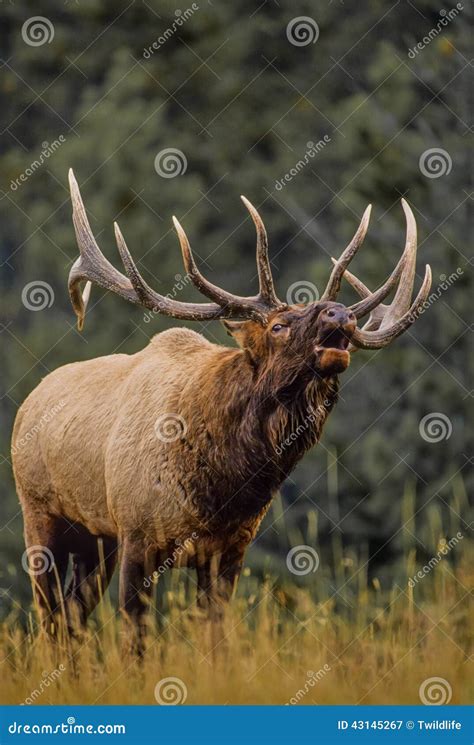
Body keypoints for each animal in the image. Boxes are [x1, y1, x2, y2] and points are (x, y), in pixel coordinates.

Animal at [12, 169, 432, 644]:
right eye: (278, 326)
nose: (340, 314)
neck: (221, 488)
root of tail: (30, 402)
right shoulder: (137, 534)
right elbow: (135, 641)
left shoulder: (230, 549)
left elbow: (215, 638)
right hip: (40, 514)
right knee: (50, 617)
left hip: (95, 538)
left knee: (72, 616)